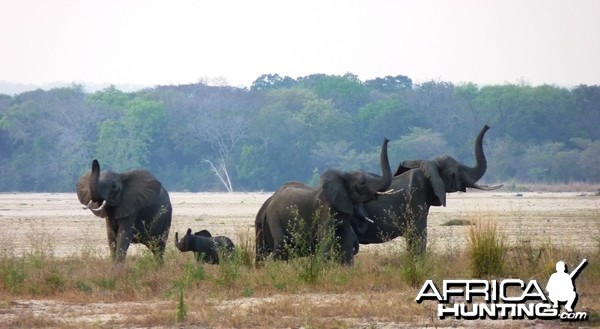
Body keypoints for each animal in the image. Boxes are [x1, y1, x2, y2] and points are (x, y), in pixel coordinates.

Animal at [254, 138, 392, 264]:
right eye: (362, 183)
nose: (387, 139)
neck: (343, 175)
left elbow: (345, 242)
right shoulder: (325, 209)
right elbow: (325, 239)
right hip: (275, 217)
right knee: (281, 247)